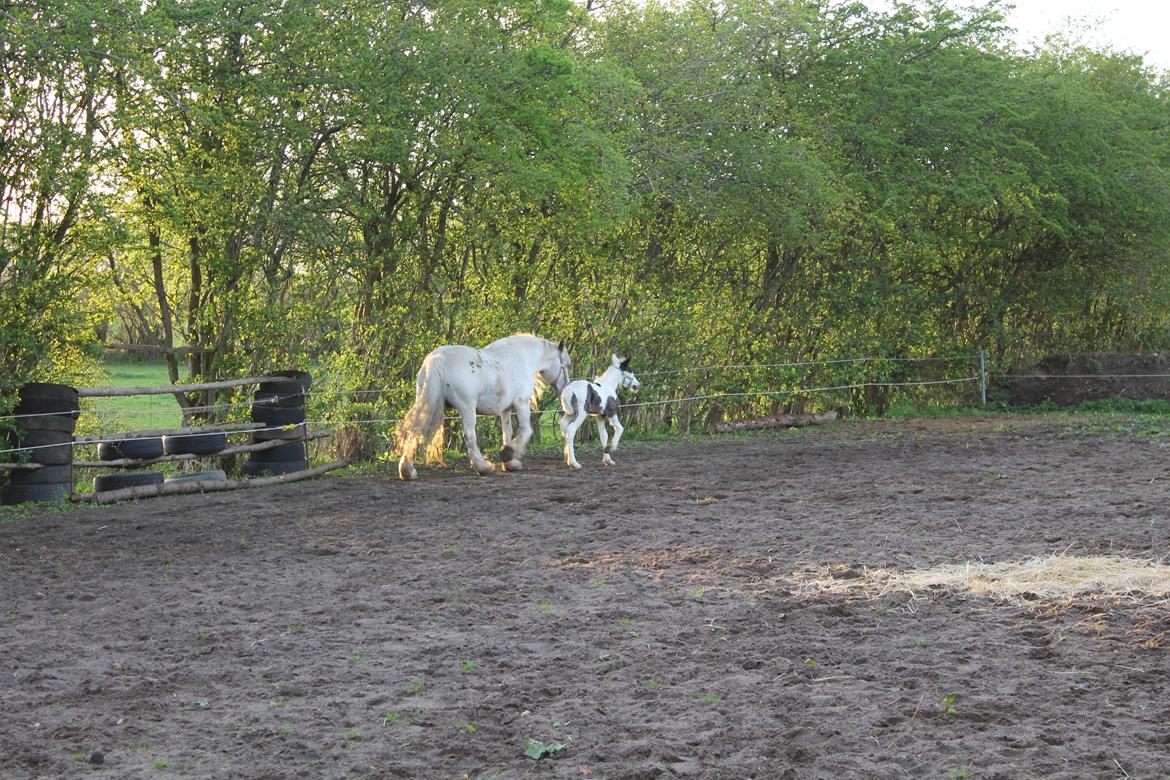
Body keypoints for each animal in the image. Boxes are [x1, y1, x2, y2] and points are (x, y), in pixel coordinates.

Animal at [397, 334, 570, 479]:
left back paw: (407, 471)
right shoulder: (521, 404)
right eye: (567, 365)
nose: (565, 388)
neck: (522, 358)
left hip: (427, 403)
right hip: (467, 409)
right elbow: (526, 431)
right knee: (469, 436)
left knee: (415, 430)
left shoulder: (505, 409)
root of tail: (438, 359)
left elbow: (507, 433)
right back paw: (483, 467)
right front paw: (507, 454)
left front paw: (510, 463)